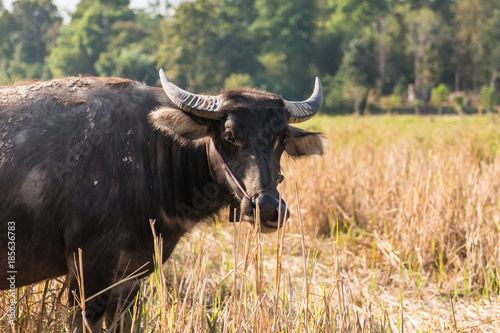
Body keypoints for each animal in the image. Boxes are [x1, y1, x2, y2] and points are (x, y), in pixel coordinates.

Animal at [0, 68, 324, 330]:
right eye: (230, 136)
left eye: (281, 138)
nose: (267, 207)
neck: (149, 150)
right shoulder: (87, 266)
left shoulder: (129, 276)